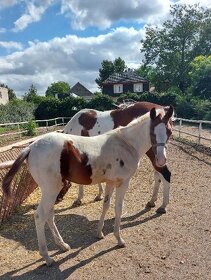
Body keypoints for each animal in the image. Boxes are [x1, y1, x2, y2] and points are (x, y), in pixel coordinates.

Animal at [2, 106, 173, 266]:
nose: (161, 160)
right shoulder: (123, 182)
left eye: (169, 132)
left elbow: (106, 205)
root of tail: (30, 147)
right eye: (152, 132)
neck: (125, 143)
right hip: (51, 189)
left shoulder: (110, 182)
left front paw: (99, 233)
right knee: (40, 216)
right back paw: (47, 257)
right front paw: (119, 240)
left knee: (49, 215)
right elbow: (118, 208)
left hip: (51, 190)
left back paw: (63, 245)